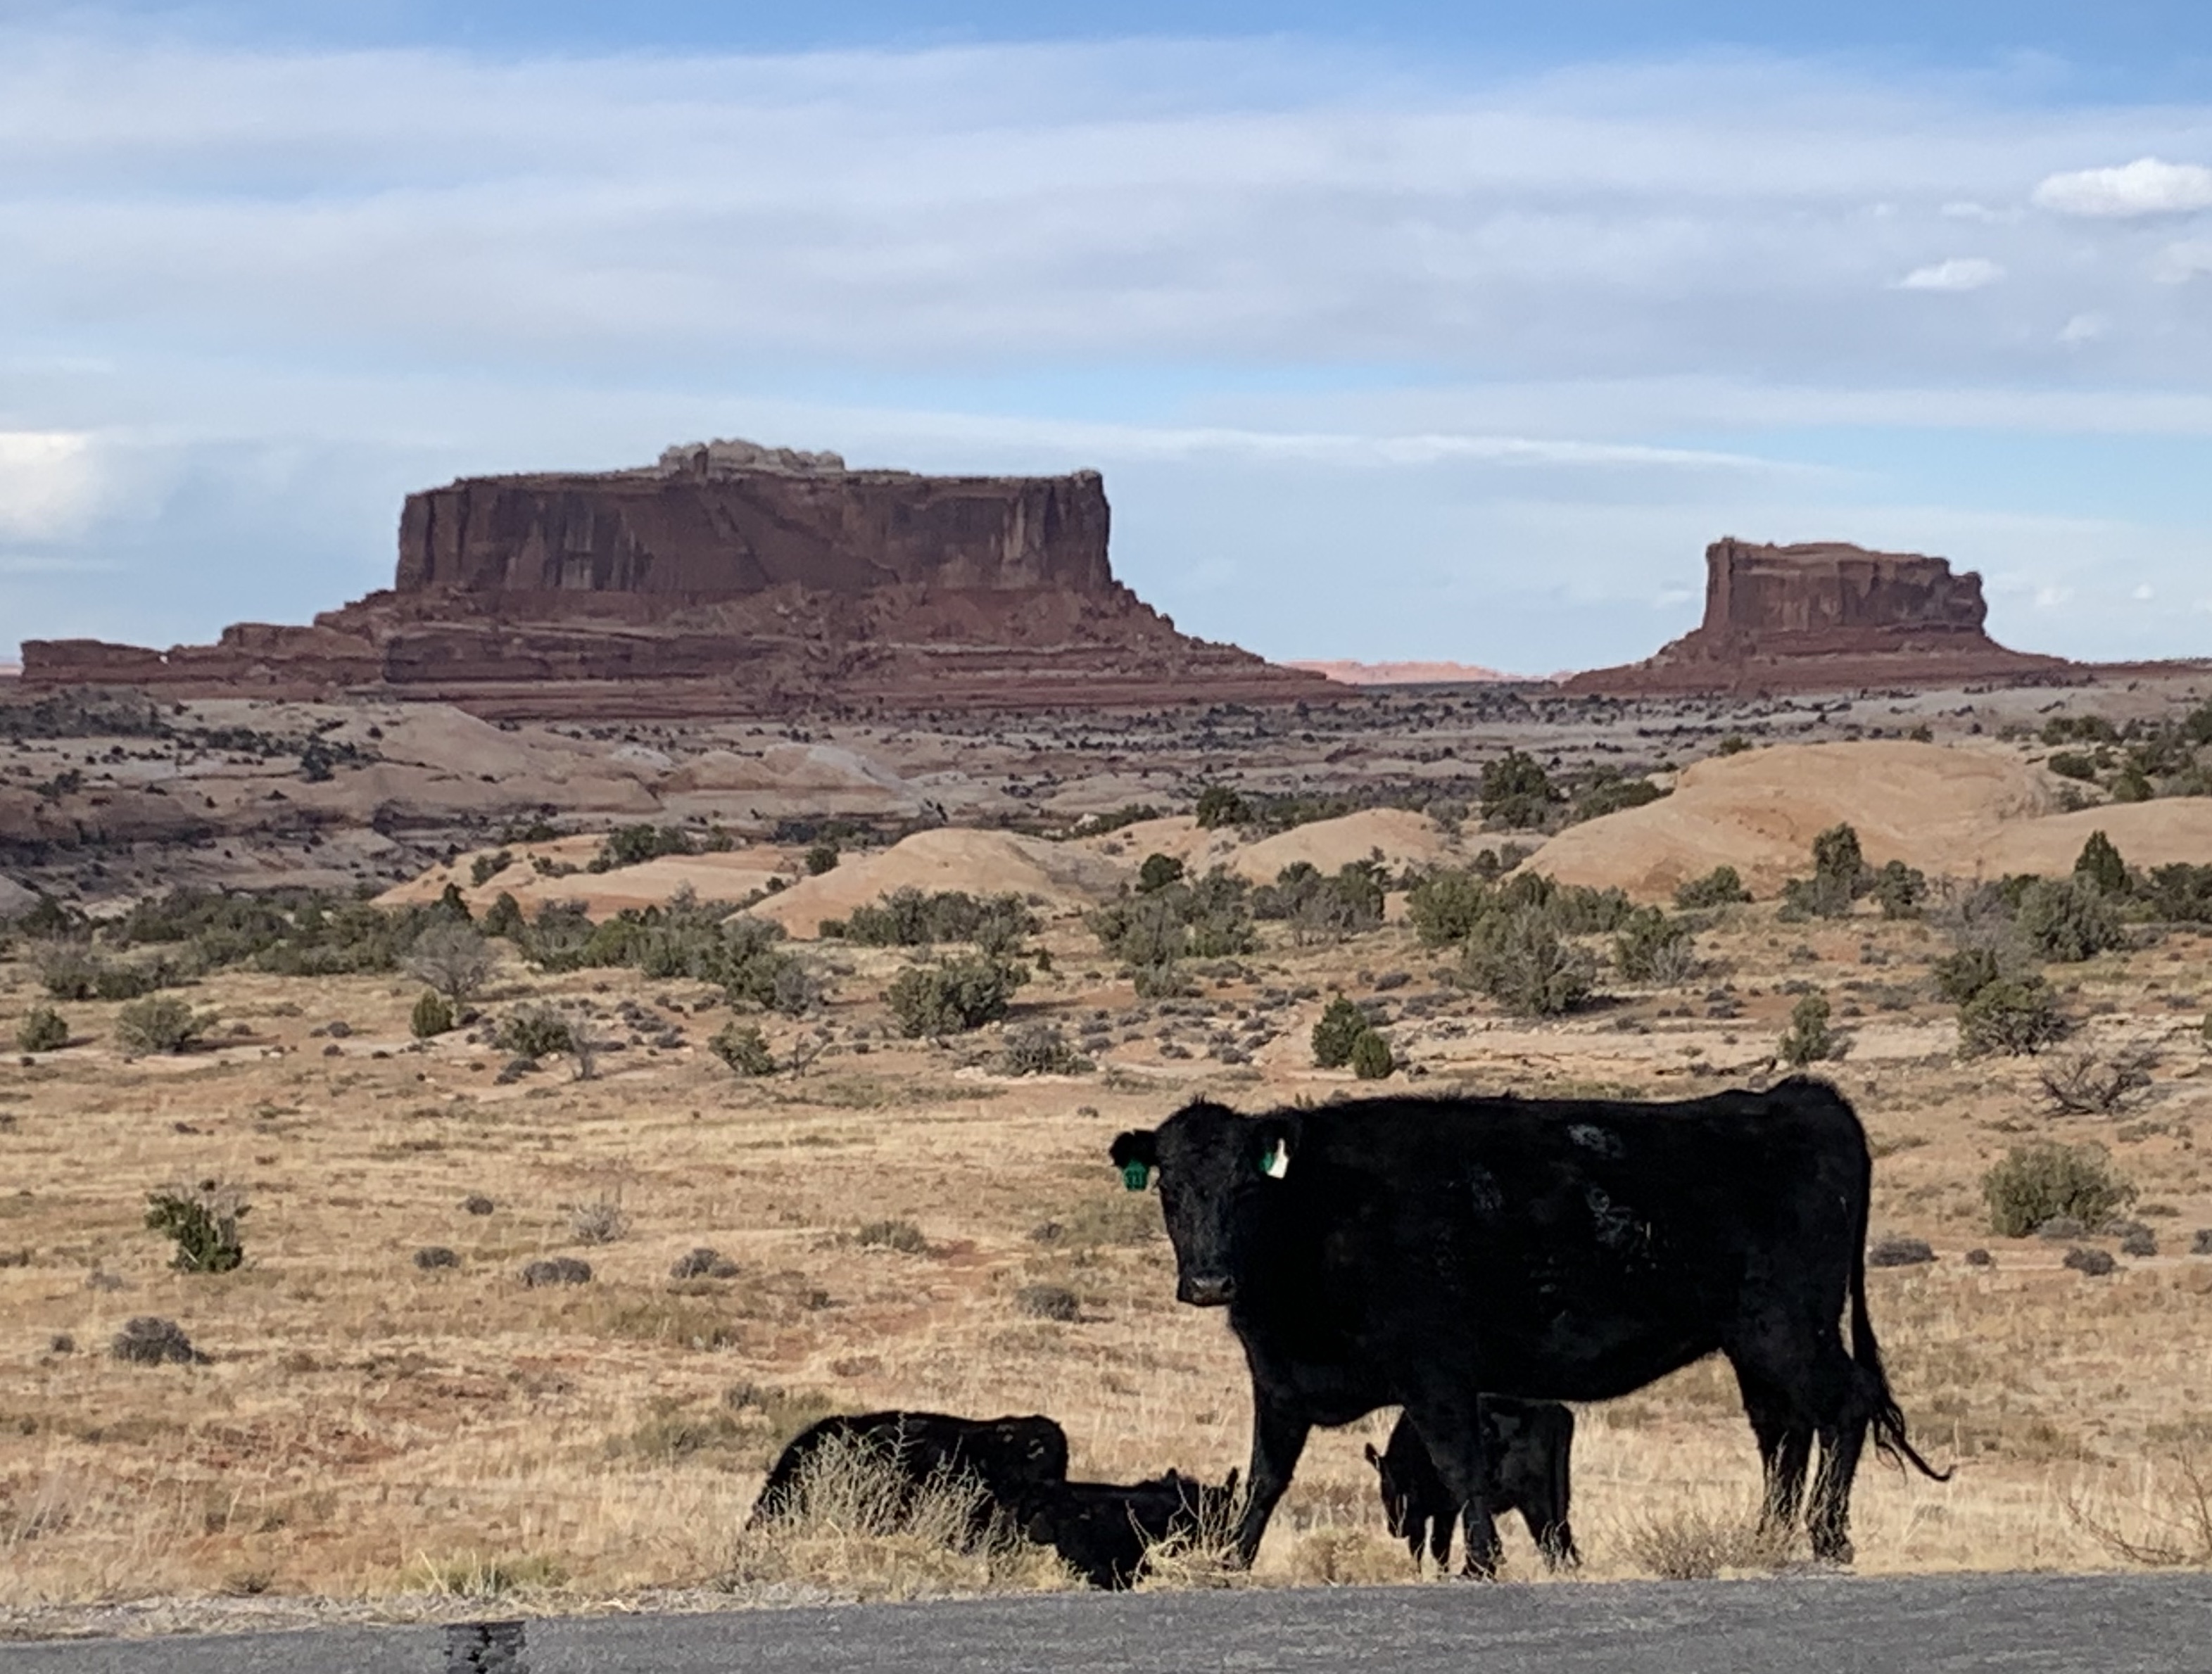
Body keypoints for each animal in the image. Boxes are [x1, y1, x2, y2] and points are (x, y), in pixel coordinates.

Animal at [1353, 1397, 1584, 1566]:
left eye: (1386, 1490)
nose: (1395, 1529)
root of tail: (1556, 1410)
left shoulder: (1441, 1509)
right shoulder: (1443, 1510)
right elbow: (1437, 1546)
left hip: (1534, 1501)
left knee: (1548, 1540)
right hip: (1559, 1498)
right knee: (1563, 1538)